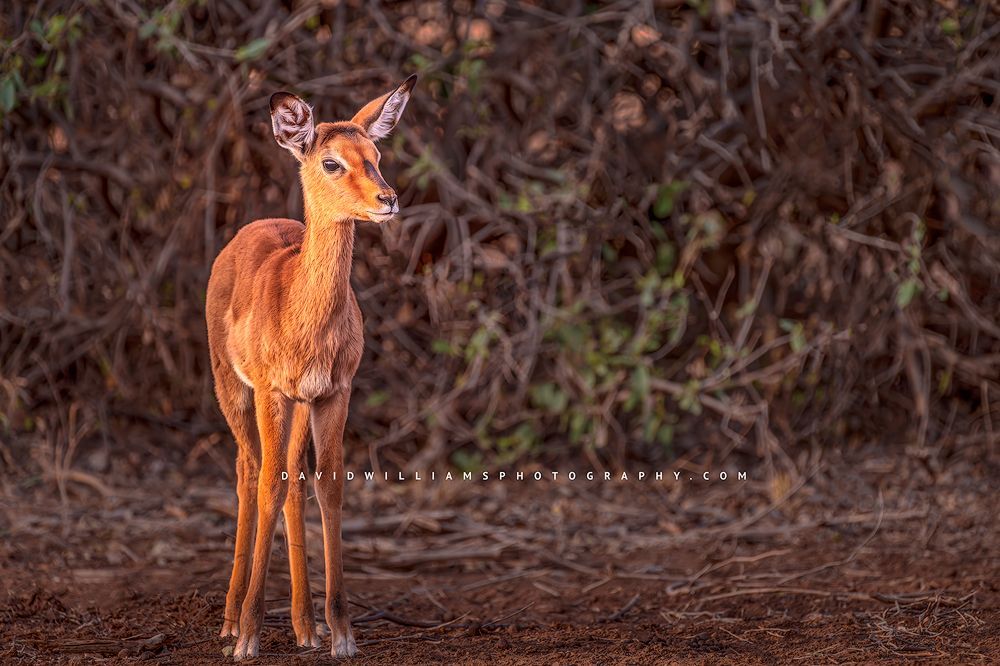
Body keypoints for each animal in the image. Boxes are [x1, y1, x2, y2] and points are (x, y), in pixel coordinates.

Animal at [205, 75, 416, 660]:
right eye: (330, 161)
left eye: (376, 155)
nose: (388, 199)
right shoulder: (271, 392)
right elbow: (268, 487)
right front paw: (249, 635)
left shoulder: (334, 393)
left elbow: (329, 486)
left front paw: (341, 633)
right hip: (233, 390)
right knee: (249, 471)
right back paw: (231, 621)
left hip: (299, 405)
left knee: (294, 484)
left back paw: (304, 626)